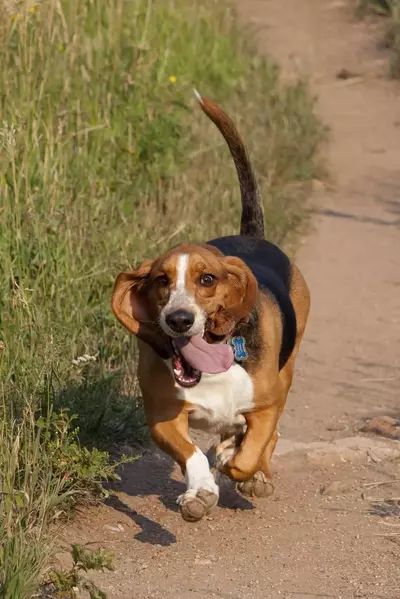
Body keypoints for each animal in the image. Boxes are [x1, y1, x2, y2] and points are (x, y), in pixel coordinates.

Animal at [111, 91, 310, 524]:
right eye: (161, 281)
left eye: (207, 280)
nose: (179, 319)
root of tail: (252, 236)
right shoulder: (162, 414)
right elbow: (192, 455)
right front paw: (200, 492)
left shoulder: (267, 404)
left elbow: (251, 451)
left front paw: (240, 463)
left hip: (288, 368)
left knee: (264, 437)